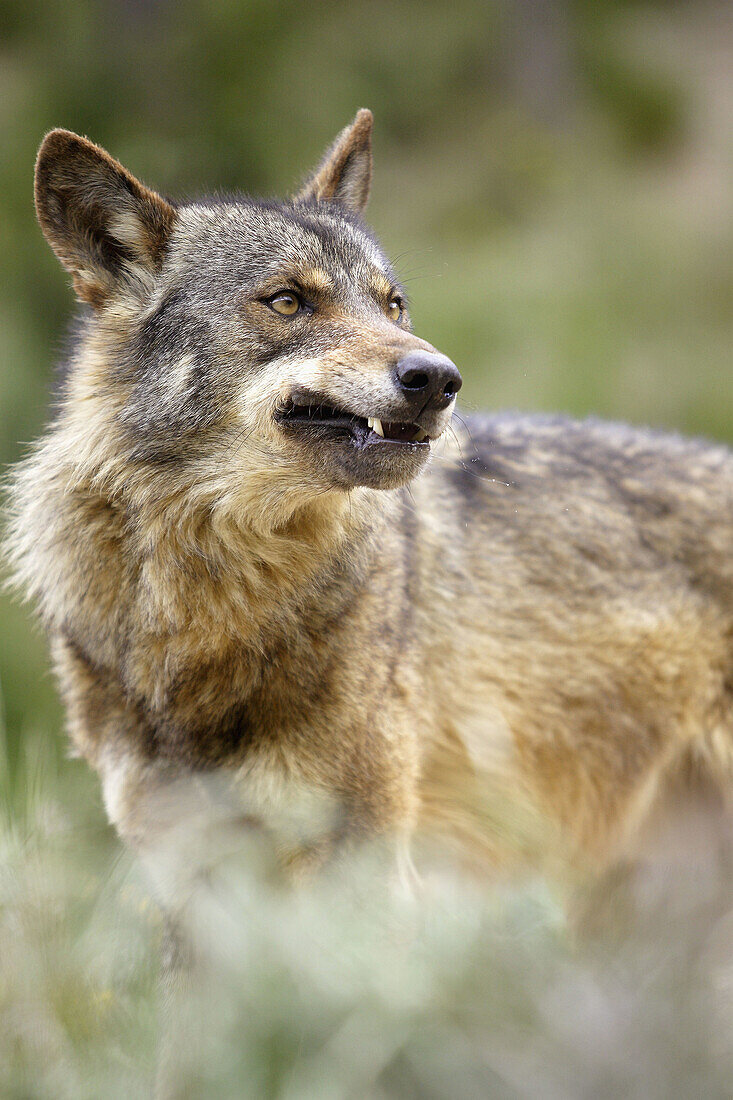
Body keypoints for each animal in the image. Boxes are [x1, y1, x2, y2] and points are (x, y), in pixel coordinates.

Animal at [4, 107, 730, 906]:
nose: (437, 378)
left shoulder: (362, 859)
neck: (213, 597)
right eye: (288, 300)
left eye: (393, 305)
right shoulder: (186, 871)